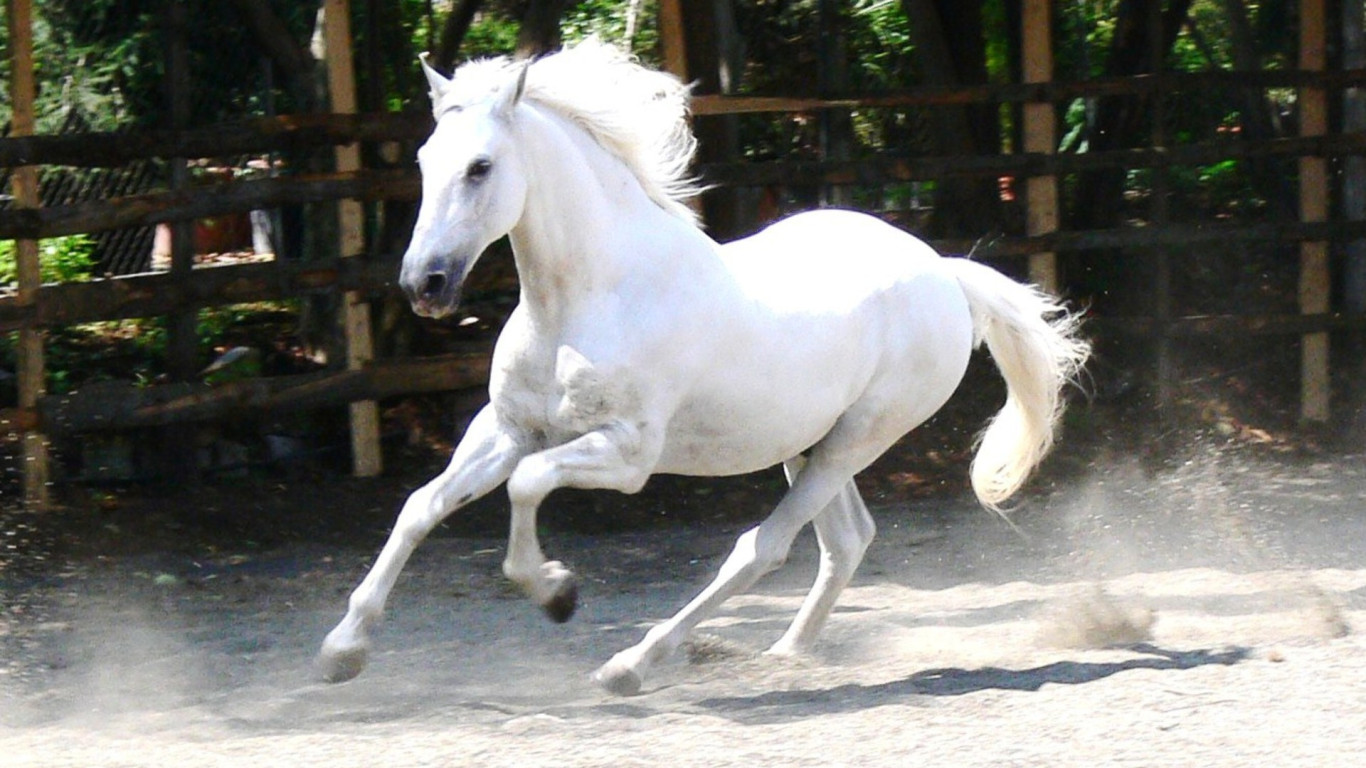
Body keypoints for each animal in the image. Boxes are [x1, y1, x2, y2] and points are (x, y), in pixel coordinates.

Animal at [318, 40, 1089, 696]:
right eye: (424, 161)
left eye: (480, 167)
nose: (425, 284)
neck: (584, 300)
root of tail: (944, 272)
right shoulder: (507, 428)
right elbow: (421, 506)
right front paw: (341, 651)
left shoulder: (627, 453)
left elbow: (527, 486)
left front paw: (556, 591)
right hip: (805, 443)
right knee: (845, 540)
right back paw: (787, 651)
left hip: (858, 438)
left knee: (763, 548)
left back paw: (632, 665)